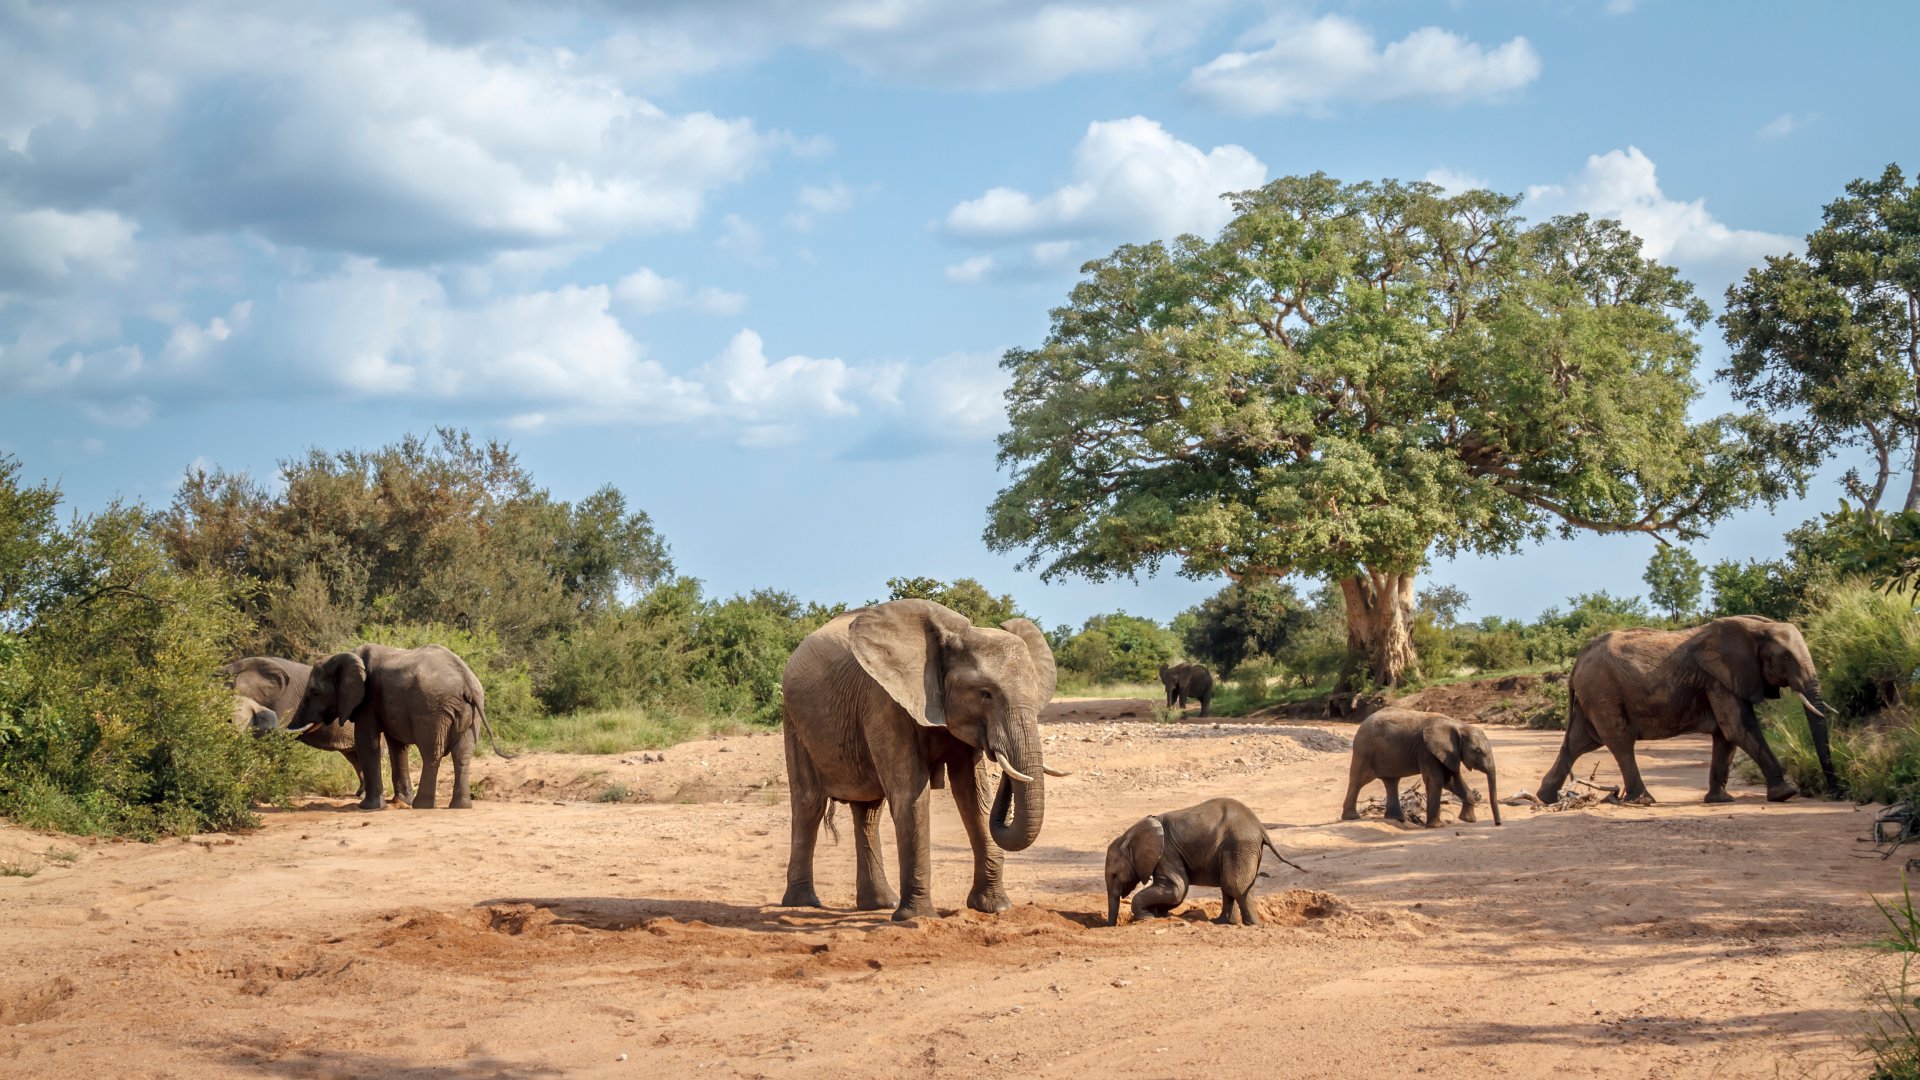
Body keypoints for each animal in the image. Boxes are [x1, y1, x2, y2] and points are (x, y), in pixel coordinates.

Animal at [291, 644, 506, 811]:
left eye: (314, 692)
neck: (345, 656)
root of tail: (466, 682)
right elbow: (397, 745)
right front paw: (401, 801)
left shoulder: (368, 699)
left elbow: (367, 741)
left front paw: (368, 807)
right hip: (470, 712)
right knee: (462, 754)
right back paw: (460, 806)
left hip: (431, 709)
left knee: (432, 752)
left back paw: (422, 806)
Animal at [780, 598, 1066, 922]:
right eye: (985, 694)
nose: (999, 754)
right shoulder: (885, 703)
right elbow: (911, 796)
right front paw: (918, 918)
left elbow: (973, 795)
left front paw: (995, 907)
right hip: (794, 721)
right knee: (809, 804)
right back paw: (802, 903)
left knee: (868, 811)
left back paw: (879, 903)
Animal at [1104, 797, 1302, 926]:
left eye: (1114, 875)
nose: (1110, 926)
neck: (1129, 835)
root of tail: (1260, 827)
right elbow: (1173, 890)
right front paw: (1159, 913)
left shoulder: (1167, 853)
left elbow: (1177, 889)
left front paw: (1147, 917)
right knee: (1231, 885)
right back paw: (1223, 922)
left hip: (1239, 844)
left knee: (1234, 885)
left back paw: (1252, 926)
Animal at [1340, 708, 1501, 827]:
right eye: (1478, 751)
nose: (1498, 823)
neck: (1459, 725)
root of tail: (1362, 722)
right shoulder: (1426, 749)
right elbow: (1436, 780)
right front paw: (1437, 826)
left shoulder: (1447, 753)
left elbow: (1450, 780)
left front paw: (1468, 820)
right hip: (1364, 751)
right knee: (1358, 781)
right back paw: (1352, 817)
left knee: (1391, 782)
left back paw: (1397, 819)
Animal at [1537, 616, 1838, 805]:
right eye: (1785, 657)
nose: (1835, 790)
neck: (1757, 627)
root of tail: (1577, 662)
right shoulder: (1718, 679)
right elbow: (1738, 729)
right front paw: (1786, 794)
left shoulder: (1719, 681)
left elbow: (1727, 736)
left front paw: (1720, 801)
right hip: (1603, 692)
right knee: (1619, 741)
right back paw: (1643, 801)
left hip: (1594, 695)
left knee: (1580, 742)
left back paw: (1546, 798)